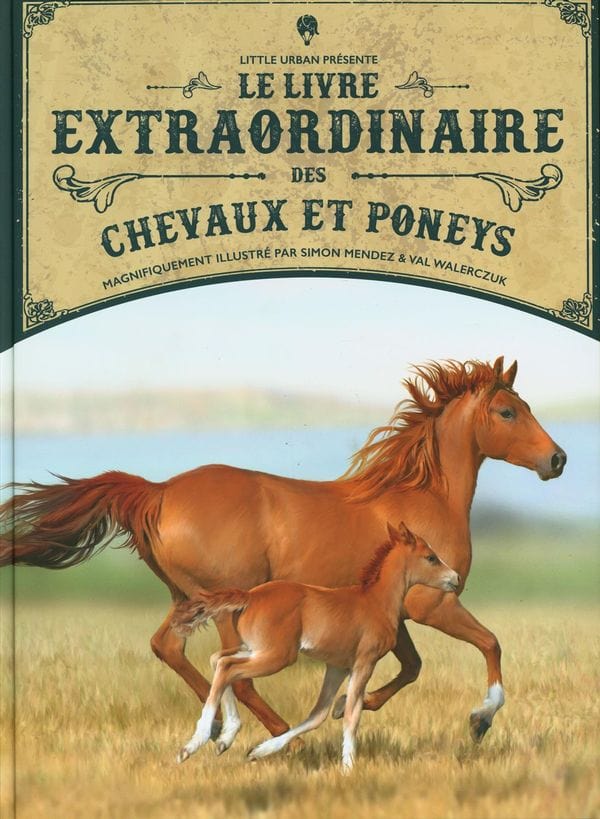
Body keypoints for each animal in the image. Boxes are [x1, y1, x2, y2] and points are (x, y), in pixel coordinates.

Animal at [0, 357, 566, 744]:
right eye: (507, 411)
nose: (557, 460)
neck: (423, 497)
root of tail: (158, 492)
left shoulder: (395, 613)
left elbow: (412, 666)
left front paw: (350, 706)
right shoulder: (434, 603)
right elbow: (490, 644)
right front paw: (480, 720)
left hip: (188, 599)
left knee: (171, 649)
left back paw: (221, 728)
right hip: (231, 603)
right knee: (234, 671)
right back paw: (279, 734)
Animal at [171, 522, 460, 771]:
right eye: (431, 557)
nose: (456, 578)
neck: (375, 601)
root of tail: (250, 596)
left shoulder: (337, 666)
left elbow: (318, 714)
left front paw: (260, 751)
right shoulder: (364, 662)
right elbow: (352, 715)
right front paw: (348, 768)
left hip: (256, 650)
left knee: (218, 659)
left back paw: (224, 738)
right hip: (278, 656)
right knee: (228, 668)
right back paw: (193, 745)